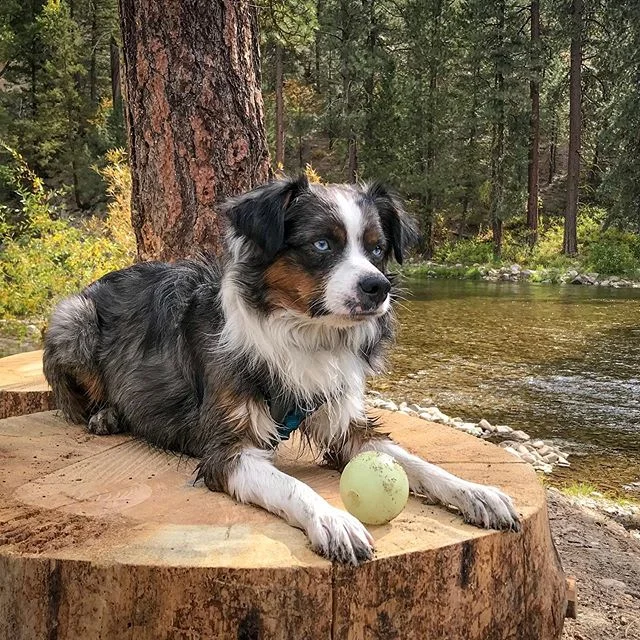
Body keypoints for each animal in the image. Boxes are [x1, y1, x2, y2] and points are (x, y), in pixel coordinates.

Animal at [42, 172, 520, 564]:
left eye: (377, 248)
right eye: (322, 244)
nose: (378, 287)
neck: (305, 334)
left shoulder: (346, 425)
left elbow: (419, 464)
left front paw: (477, 493)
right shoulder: (227, 451)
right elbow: (294, 486)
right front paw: (334, 520)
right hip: (74, 319)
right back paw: (105, 415)